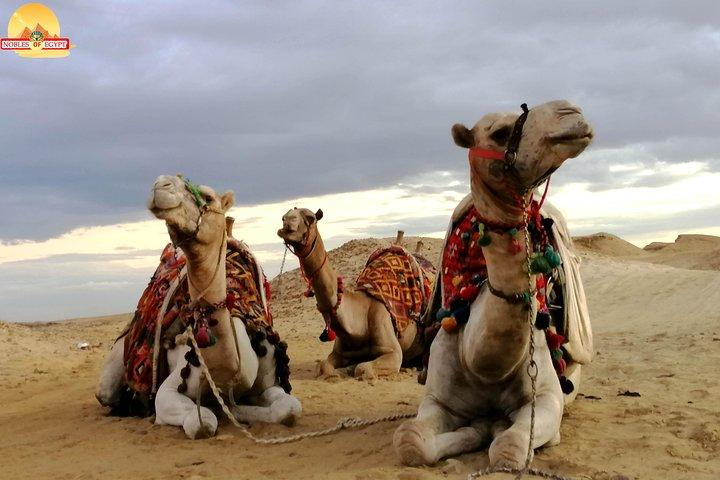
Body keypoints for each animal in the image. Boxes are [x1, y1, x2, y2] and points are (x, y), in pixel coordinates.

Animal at [96, 174, 301, 439]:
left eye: (208, 197)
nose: (161, 184)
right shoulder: (171, 387)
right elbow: (202, 422)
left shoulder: (269, 376)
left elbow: (289, 408)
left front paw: (241, 411)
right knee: (107, 392)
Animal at [277, 210, 431, 380]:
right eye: (286, 216)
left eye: (310, 218)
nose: (287, 220)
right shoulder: (339, 352)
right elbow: (324, 366)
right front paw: (343, 370)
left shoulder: (393, 351)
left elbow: (362, 368)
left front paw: (351, 368)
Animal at [393, 100, 594, 468]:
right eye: (500, 133)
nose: (571, 112)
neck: (484, 366)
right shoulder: (437, 399)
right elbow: (411, 441)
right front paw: (473, 430)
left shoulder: (548, 398)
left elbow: (509, 447)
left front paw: (497, 429)